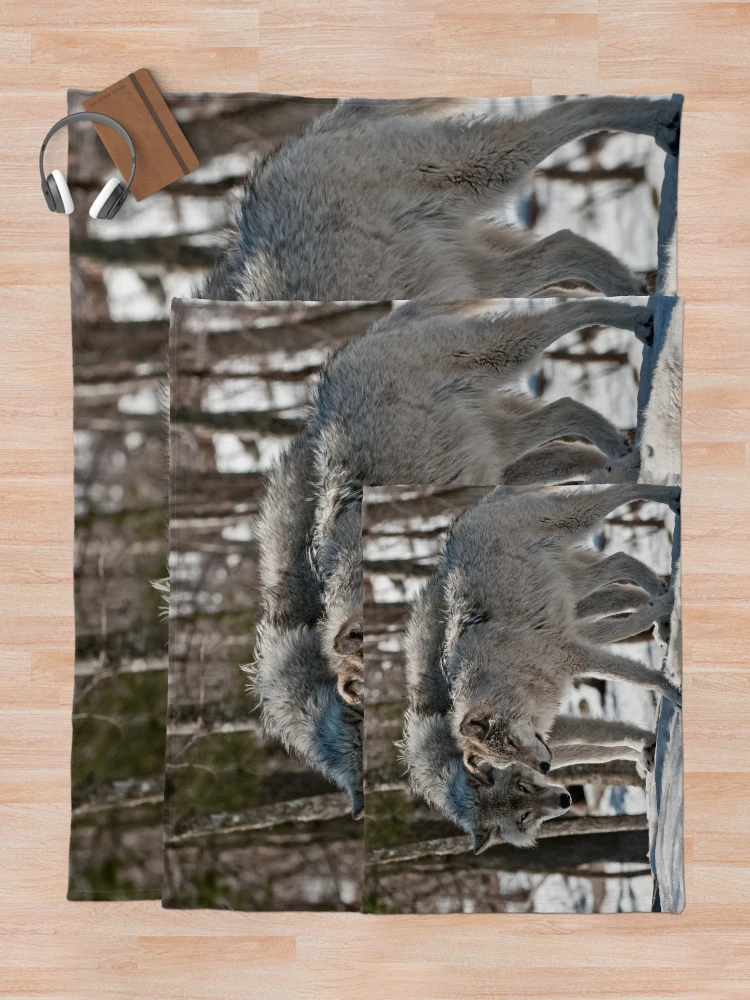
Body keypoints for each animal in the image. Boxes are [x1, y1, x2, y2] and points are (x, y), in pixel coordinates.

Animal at [200, 95, 681, 302]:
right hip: (473, 270)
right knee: (565, 246)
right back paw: (636, 292)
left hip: (485, 171)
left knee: (578, 111)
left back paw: (661, 117)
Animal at [426, 484, 680, 778]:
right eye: (506, 762)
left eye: (511, 742)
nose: (545, 768)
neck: (508, 676)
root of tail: (471, 512)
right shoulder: (572, 645)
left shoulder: (573, 654)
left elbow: (640, 676)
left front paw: (673, 691)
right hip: (575, 584)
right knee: (622, 568)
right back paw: (663, 611)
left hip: (577, 529)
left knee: (622, 498)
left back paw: (671, 496)